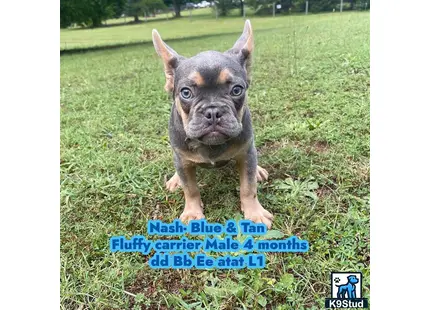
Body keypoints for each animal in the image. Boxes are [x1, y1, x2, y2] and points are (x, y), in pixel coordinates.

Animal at [153, 19, 274, 228]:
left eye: (236, 90)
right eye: (186, 93)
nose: (213, 111)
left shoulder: (246, 153)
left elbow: (248, 187)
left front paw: (255, 213)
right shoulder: (182, 160)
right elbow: (190, 189)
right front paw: (192, 212)